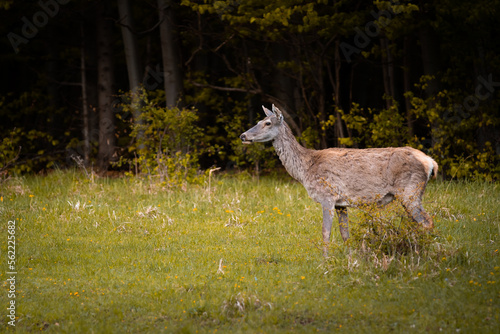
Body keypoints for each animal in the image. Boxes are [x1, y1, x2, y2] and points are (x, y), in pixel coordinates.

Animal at [239, 104, 438, 250]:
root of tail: (430, 163)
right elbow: (345, 235)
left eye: (267, 123)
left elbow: (325, 233)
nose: (243, 135)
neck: (305, 169)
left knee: (427, 222)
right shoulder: (341, 203)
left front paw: (325, 264)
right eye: (259, 120)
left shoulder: (327, 196)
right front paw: (351, 261)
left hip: (410, 191)